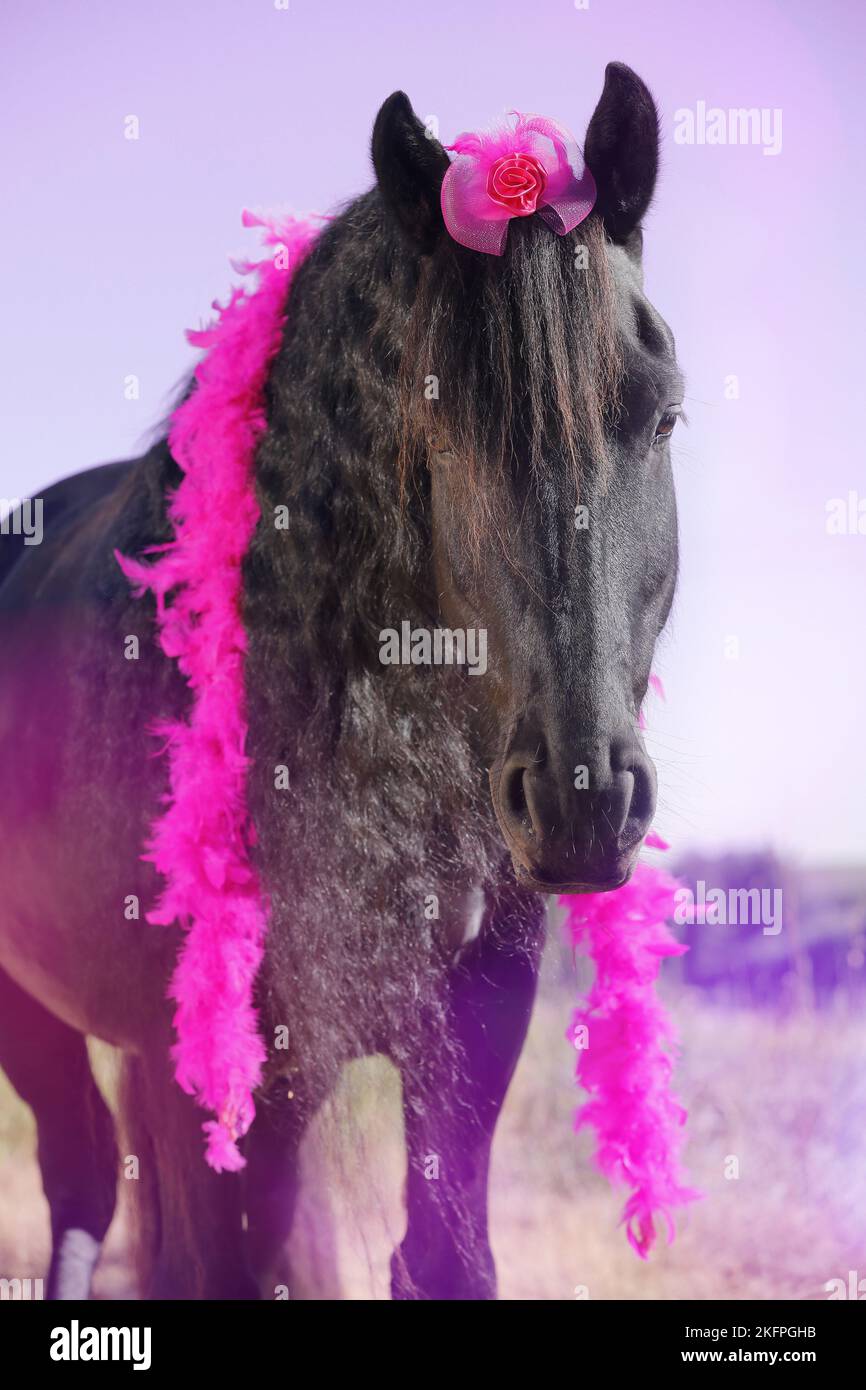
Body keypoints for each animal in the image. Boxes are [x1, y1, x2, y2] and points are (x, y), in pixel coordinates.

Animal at [0, 62, 683, 1301]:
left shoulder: (465, 1043)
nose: (582, 797)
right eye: (437, 424)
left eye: (660, 415)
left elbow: (442, 1258)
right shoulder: (208, 1080)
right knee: (78, 1181)